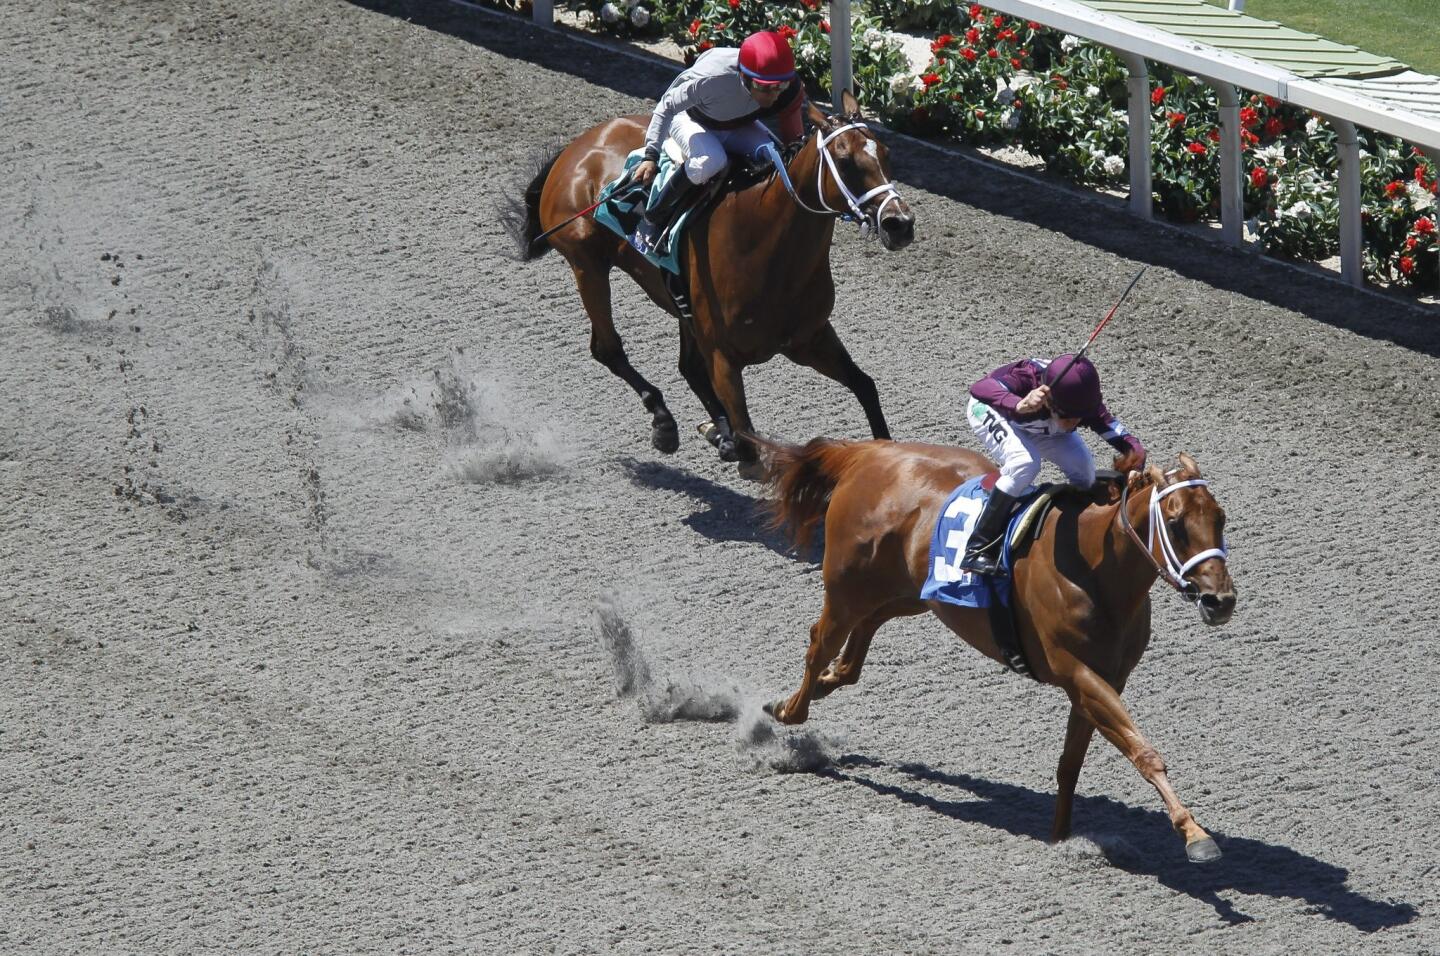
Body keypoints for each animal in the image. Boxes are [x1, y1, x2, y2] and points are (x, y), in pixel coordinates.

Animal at [504, 89, 910, 478]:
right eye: (845, 161)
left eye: (887, 154)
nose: (899, 223)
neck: (764, 245)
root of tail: (577, 146)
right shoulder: (724, 356)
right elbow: (750, 443)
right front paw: (729, 438)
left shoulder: (809, 338)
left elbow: (865, 386)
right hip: (587, 263)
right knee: (608, 349)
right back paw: (665, 422)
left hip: (682, 304)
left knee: (687, 366)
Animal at [754, 437, 1238, 863]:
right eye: (1175, 523)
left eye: (1220, 518)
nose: (1221, 601)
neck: (1094, 568)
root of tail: (866, 453)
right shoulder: (1079, 674)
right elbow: (1144, 752)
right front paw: (1195, 836)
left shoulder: (1101, 681)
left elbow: (1071, 763)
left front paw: (1060, 836)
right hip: (847, 589)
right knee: (819, 643)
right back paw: (788, 710)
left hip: (912, 592)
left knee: (860, 641)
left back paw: (828, 682)